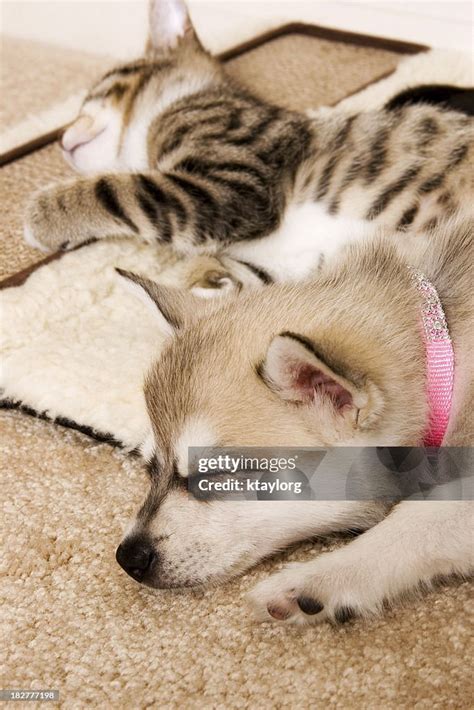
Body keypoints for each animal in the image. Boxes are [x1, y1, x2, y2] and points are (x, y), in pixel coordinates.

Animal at [24, 0, 472, 284]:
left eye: (97, 91)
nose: (60, 139)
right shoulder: (287, 269)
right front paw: (203, 276)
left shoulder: (235, 185)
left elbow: (124, 189)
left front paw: (46, 213)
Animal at [115, 214, 474, 624]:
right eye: (149, 467)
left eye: (214, 473)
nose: (127, 557)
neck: (444, 359)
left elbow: (424, 516)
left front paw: (320, 577)